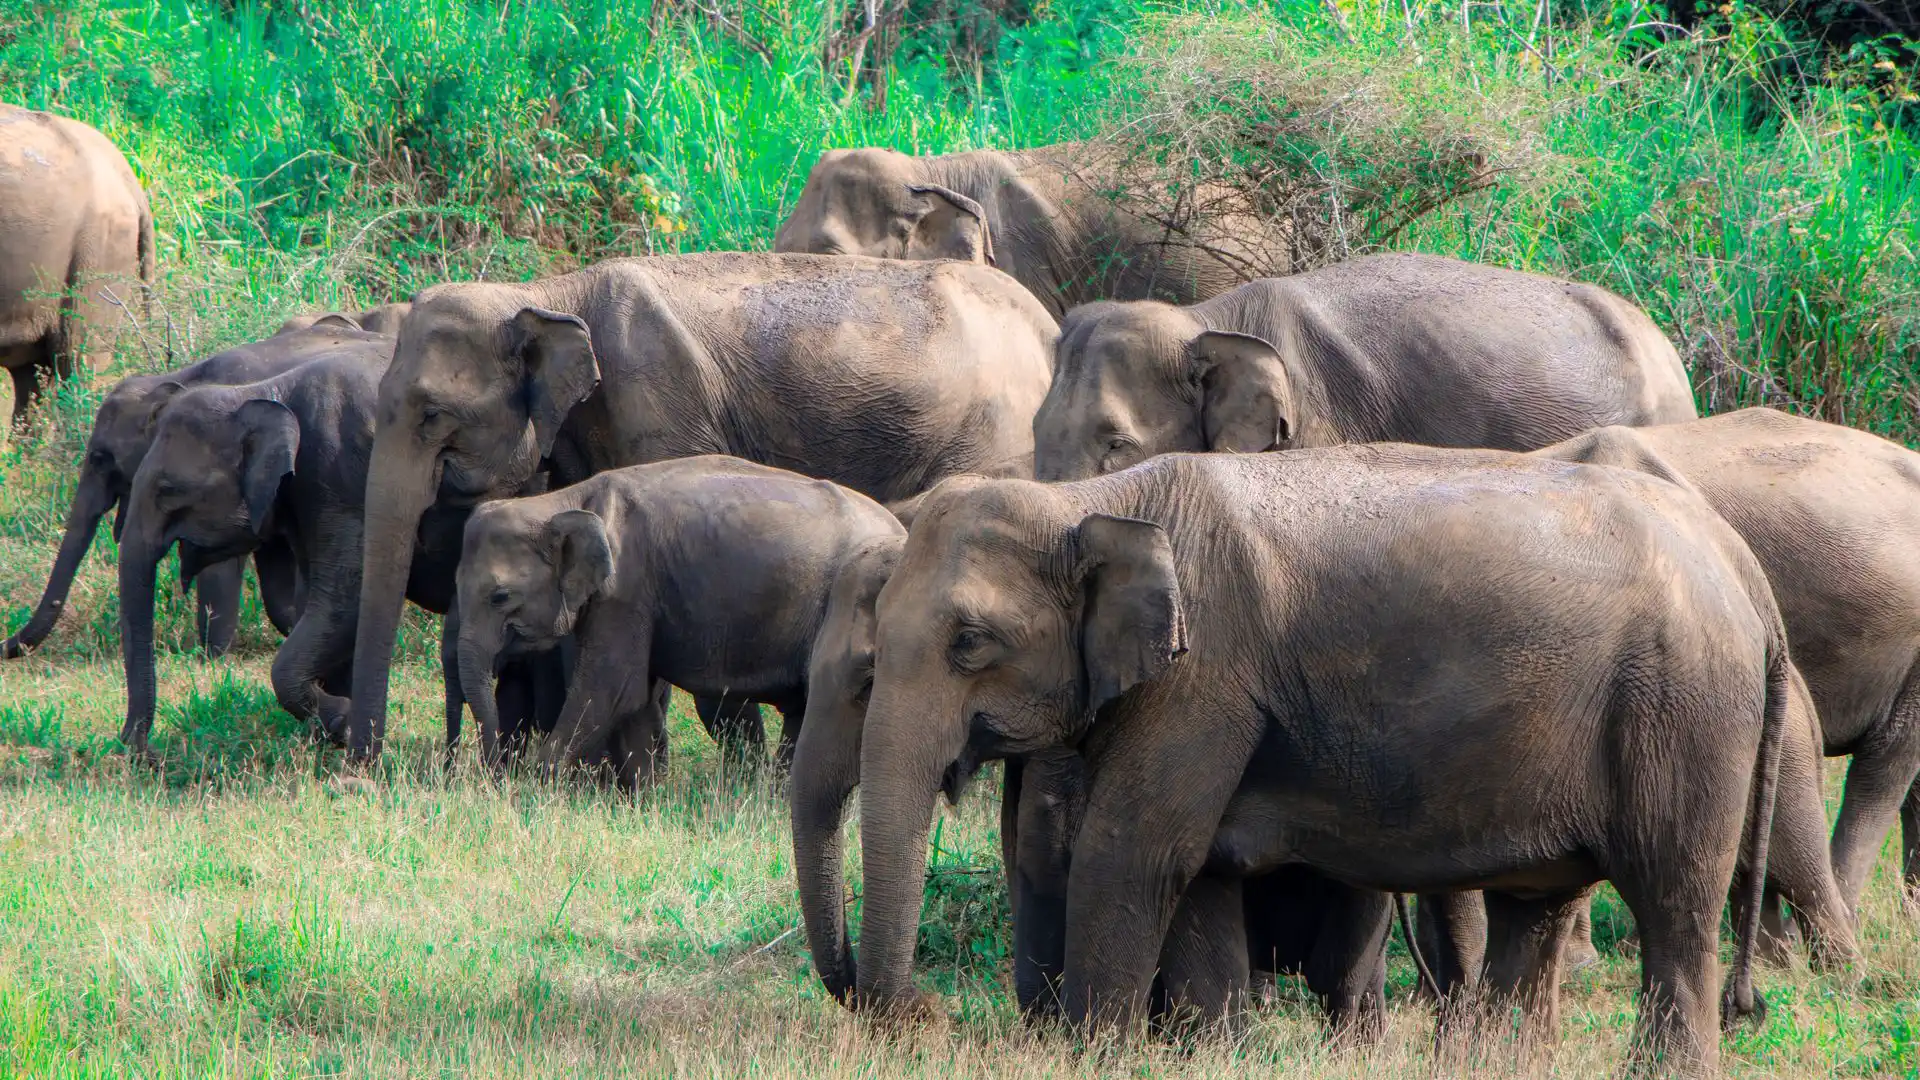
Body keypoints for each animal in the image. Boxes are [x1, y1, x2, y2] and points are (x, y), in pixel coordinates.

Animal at [3, 320, 392, 660]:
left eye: (100, 458)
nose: (8, 646)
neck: (173, 379)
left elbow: (223, 564)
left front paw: (208, 658)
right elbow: (273, 570)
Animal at [114, 342, 563, 757]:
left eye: (168, 490)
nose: (143, 753)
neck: (260, 391)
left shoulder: (337, 472)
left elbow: (343, 600)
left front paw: (341, 721)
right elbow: (319, 602)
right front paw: (335, 729)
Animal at [452, 455, 905, 787]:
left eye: (499, 596)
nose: (491, 780)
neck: (563, 500)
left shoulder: (627, 589)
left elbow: (610, 689)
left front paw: (532, 790)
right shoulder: (637, 601)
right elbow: (636, 697)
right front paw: (644, 799)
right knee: (801, 713)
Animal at [852, 446, 1795, 1075]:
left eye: (969, 642)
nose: (922, 1016)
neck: (1091, 499)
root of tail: (1742, 564)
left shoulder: (1203, 679)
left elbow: (1134, 852)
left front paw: (1096, 1058)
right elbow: (1197, 869)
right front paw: (1213, 1055)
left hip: (1682, 706)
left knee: (1672, 895)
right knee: (1536, 906)